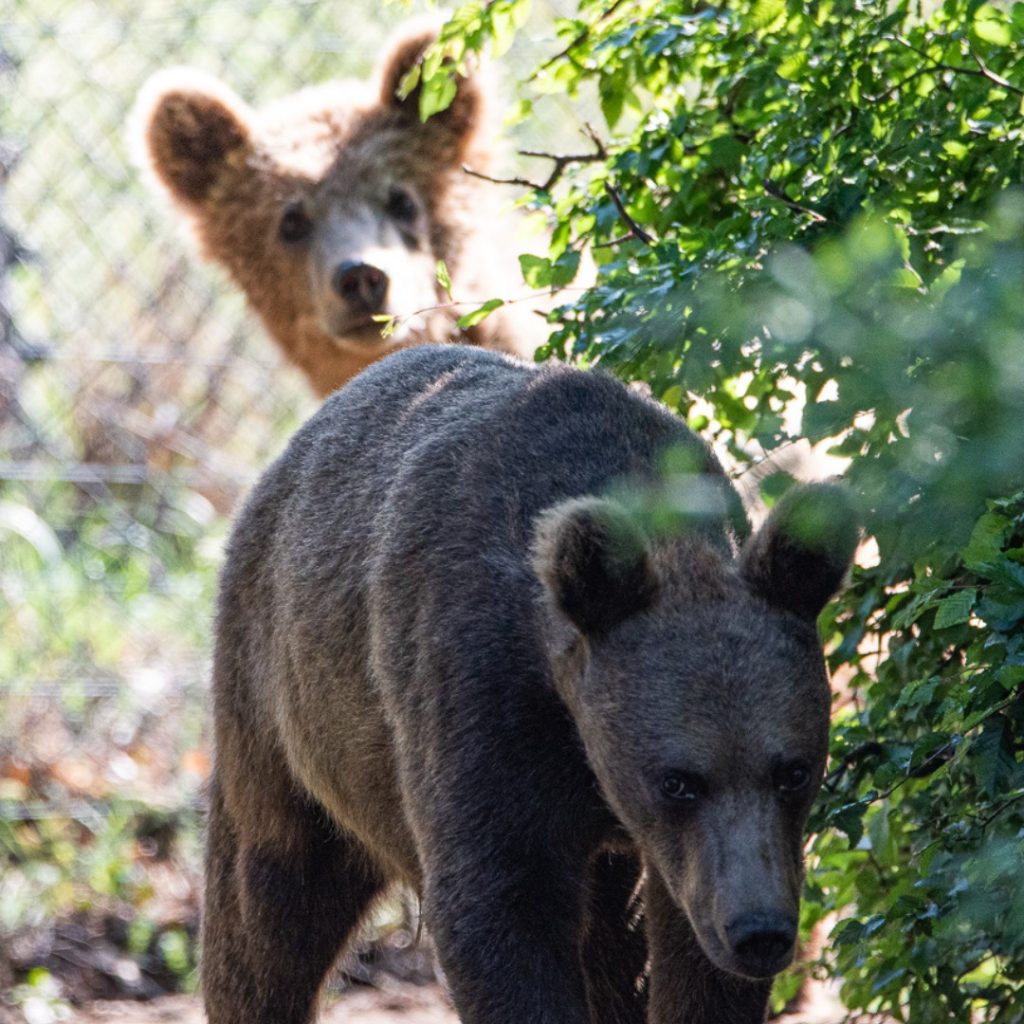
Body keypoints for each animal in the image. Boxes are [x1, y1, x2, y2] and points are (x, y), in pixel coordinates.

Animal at [205, 346, 856, 1024]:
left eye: (794, 771)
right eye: (677, 781)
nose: (759, 931)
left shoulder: (689, 849)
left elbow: (685, 955)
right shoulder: (482, 703)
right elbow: (499, 909)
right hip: (289, 715)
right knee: (267, 907)